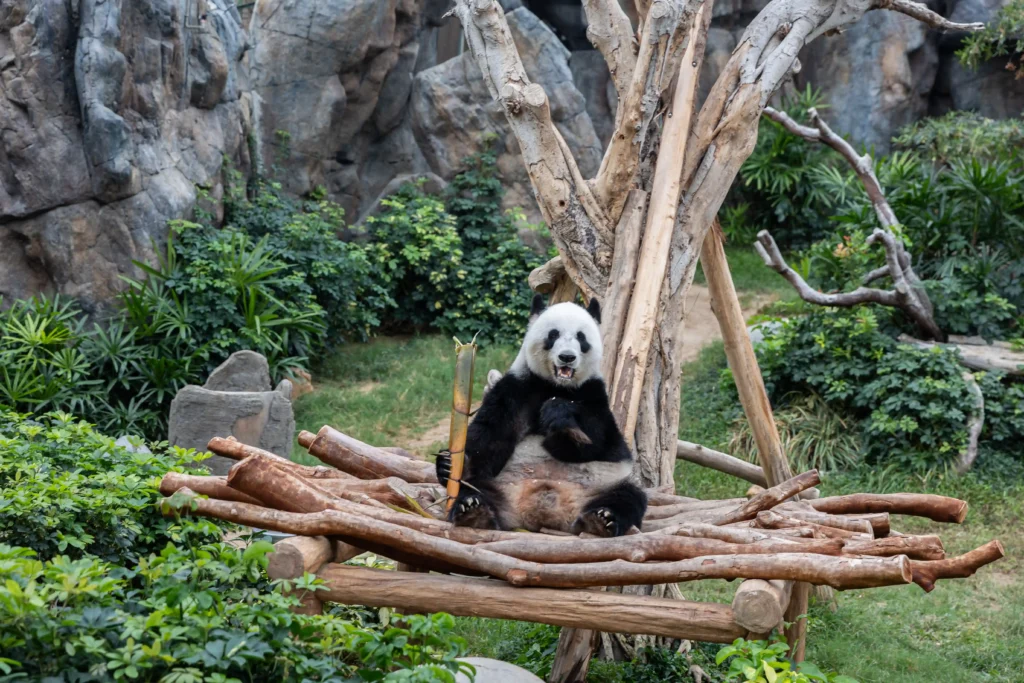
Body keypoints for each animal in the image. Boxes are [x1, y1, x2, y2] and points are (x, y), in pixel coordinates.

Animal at [434, 296, 643, 536]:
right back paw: (474, 511)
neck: (556, 386)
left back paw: (601, 520)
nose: (567, 357)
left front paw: (558, 414)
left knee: (628, 497)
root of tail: (545, 513)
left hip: (606, 483)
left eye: (581, 337)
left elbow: (598, 442)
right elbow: (489, 438)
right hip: (499, 484)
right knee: (474, 487)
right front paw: (449, 464)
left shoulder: (594, 394)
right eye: (553, 335)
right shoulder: (516, 388)